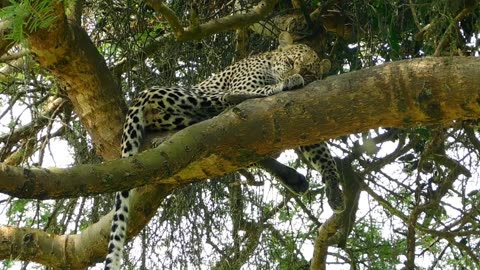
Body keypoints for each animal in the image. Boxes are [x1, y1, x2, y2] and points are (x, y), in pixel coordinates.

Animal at [105, 32, 344, 270]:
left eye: (309, 71)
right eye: (289, 62)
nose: (298, 75)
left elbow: (321, 153)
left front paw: (334, 191)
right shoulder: (246, 82)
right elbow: (259, 90)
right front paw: (287, 81)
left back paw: (292, 178)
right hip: (189, 93)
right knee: (229, 97)